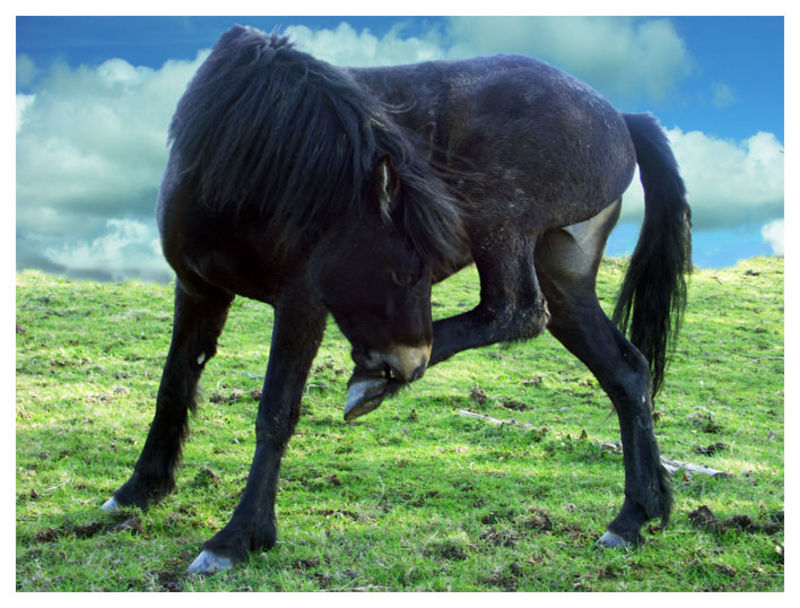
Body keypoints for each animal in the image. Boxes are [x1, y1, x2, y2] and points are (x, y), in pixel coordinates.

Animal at [102, 25, 691, 575]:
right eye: (407, 269)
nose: (408, 363)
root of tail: (620, 117)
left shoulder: (301, 302)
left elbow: (275, 412)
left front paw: (236, 538)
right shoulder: (197, 289)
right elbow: (174, 384)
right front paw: (139, 489)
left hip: (503, 225)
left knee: (516, 313)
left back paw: (371, 383)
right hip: (564, 278)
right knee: (625, 372)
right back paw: (635, 517)